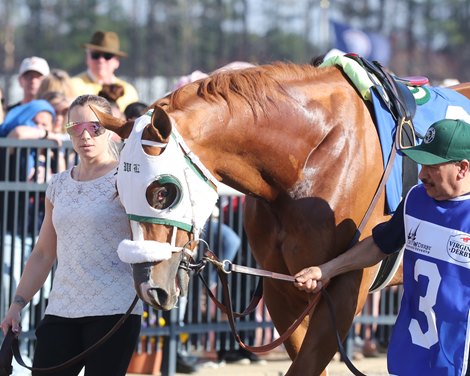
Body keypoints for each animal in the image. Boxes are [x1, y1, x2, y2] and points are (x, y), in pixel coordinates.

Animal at [93, 63, 470, 374]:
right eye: (119, 190)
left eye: (163, 192)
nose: (149, 287)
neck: (312, 155)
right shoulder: (283, 286)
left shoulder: (345, 286)